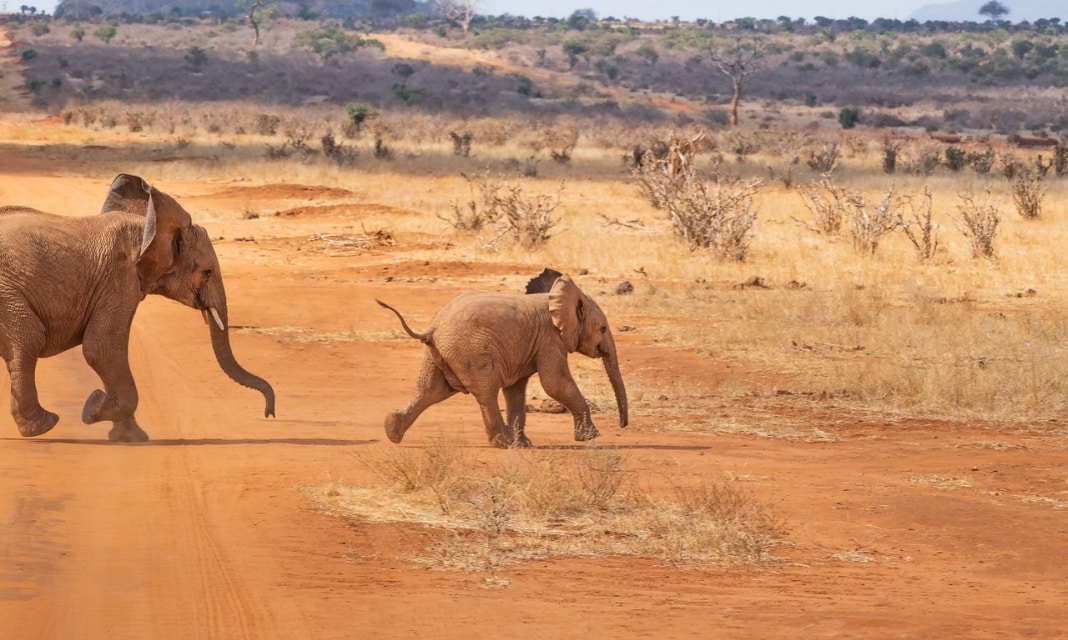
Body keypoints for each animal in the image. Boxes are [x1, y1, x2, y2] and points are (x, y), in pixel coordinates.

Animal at [1, 173, 275, 442]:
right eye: (207, 272)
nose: (269, 414)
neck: (147, 228)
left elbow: (107, 351)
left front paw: (129, 436)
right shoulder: (119, 277)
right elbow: (102, 348)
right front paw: (93, 408)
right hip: (7, 294)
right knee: (30, 338)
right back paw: (43, 426)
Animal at [375, 272, 623, 448]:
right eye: (602, 329)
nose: (623, 425)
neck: (558, 297)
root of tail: (432, 328)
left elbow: (516, 390)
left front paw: (523, 445)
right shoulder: (550, 339)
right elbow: (555, 383)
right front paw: (591, 437)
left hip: (437, 354)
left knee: (430, 391)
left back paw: (392, 431)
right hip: (472, 352)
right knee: (486, 393)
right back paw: (502, 443)